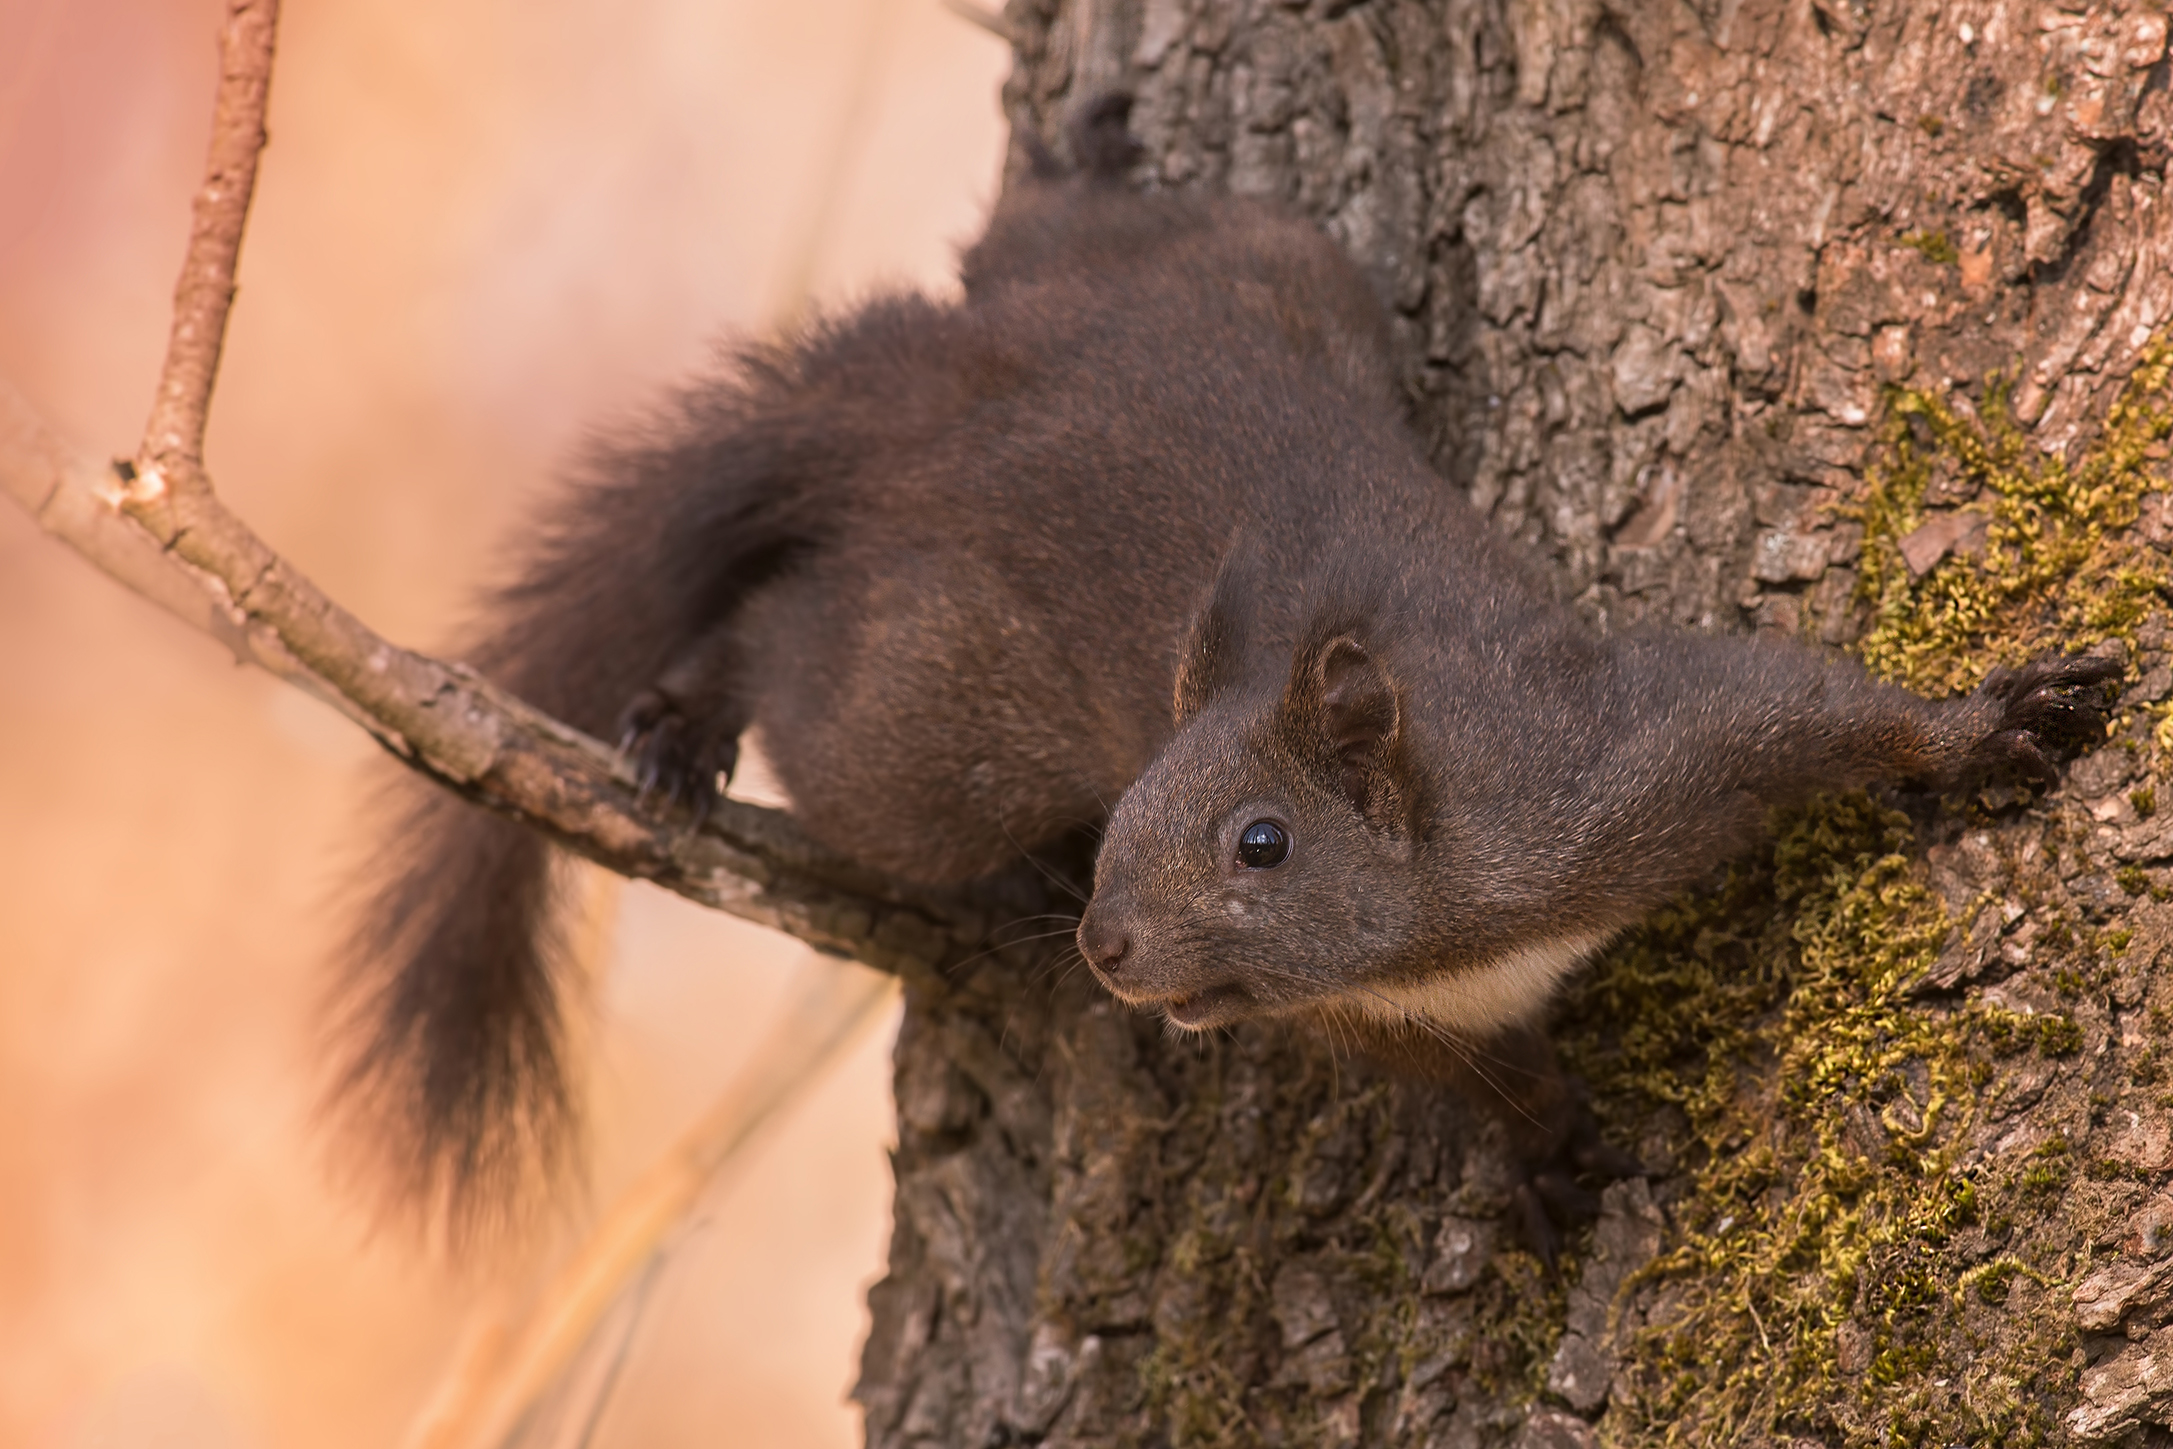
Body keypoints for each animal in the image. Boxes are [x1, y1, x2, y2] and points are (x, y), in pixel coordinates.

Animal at [337, 96, 2117, 1235]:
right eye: (1128, 820)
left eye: (1261, 843)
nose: (1109, 946)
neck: (1442, 922)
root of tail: (956, 403)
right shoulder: (1370, 1014)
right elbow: (1478, 1082)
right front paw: (1543, 1151)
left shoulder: (1621, 756)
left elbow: (1814, 706)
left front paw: (1990, 729)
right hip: (927, 725)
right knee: (787, 636)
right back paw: (686, 713)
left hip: (1249, 265)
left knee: (1031, 252)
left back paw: (1074, 162)